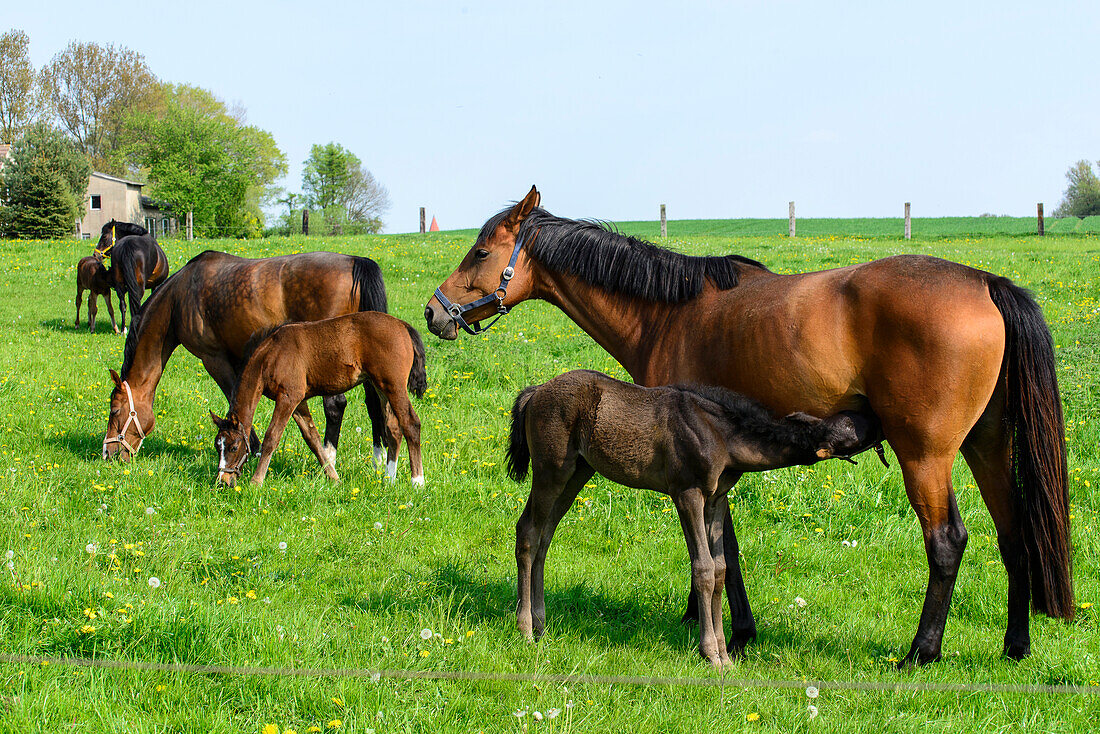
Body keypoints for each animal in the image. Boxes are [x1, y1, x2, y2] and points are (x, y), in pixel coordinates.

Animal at [100, 249, 391, 470]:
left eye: (114, 411)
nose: (108, 454)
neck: (179, 297)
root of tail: (354, 261)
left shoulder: (214, 359)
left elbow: (233, 396)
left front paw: (251, 450)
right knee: (374, 402)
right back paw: (379, 459)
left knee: (336, 405)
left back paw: (329, 458)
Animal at [207, 312, 426, 488]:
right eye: (218, 446)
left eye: (234, 447)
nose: (223, 482)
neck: (271, 355)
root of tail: (403, 325)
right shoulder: (298, 402)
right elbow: (312, 439)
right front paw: (334, 478)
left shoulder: (288, 397)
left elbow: (272, 437)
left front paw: (256, 481)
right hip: (381, 387)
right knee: (393, 429)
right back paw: (389, 479)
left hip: (394, 386)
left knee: (411, 423)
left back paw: (417, 481)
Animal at [508, 369, 884, 669]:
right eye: (854, 425)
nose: (879, 415)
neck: (722, 435)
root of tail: (535, 391)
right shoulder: (687, 493)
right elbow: (702, 568)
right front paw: (711, 654)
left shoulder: (715, 499)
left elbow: (719, 570)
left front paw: (725, 655)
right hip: (551, 469)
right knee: (528, 531)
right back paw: (525, 629)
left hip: (578, 472)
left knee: (545, 536)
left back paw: (541, 625)